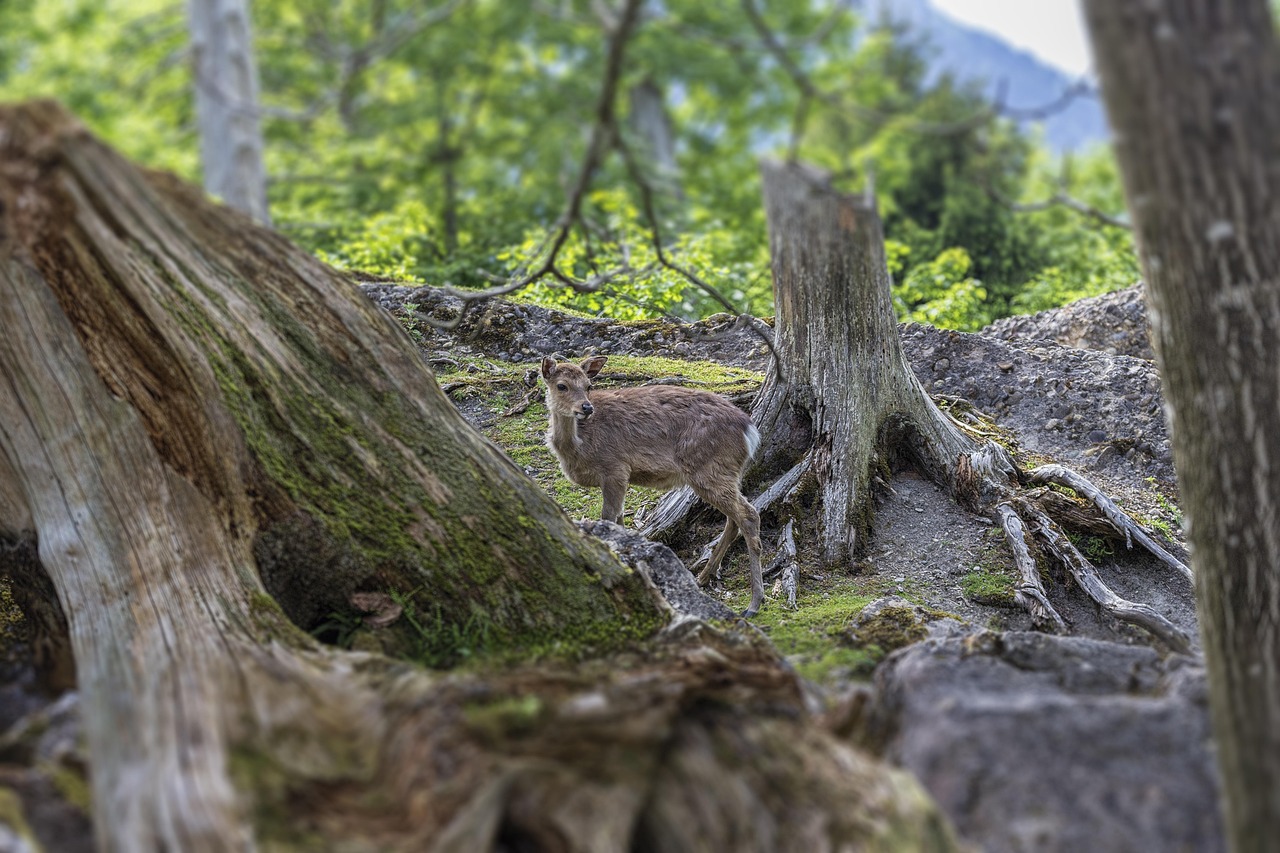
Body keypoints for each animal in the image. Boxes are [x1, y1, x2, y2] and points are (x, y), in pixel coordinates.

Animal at [537, 356, 757, 614]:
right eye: (561, 385)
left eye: (588, 385)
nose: (587, 407)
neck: (578, 448)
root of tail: (750, 431)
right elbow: (620, 521)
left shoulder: (615, 467)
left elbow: (608, 518)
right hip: (728, 472)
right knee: (734, 519)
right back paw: (703, 577)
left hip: (710, 468)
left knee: (748, 515)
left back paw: (754, 602)